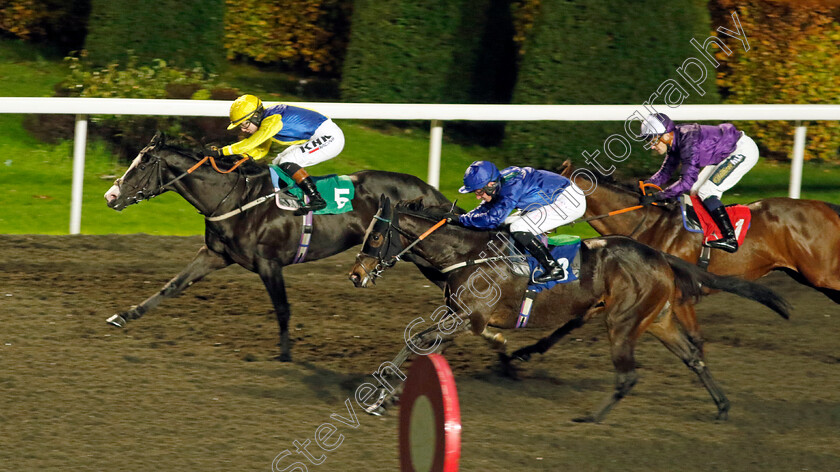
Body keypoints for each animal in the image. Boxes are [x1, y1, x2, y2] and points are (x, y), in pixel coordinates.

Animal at [103, 133, 452, 362]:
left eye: (143, 164)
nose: (110, 196)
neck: (234, 197)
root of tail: (428, 189)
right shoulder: (216, 255)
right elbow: (172, 285)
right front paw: (125, 315)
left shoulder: (269, 263)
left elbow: (282, 308)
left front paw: (285, 356)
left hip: (425, 257)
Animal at [344, 197, 792, 422]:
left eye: (376, 237)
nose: (356, 274)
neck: (467, 253)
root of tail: (661, 256)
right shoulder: (460, 319)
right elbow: (421, 344)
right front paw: (385, 394)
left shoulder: (467, 319)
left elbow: (418, 341)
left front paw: (381, 395)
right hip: (657, 318)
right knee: (693, 357)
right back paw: (722, 406)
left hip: (622, 320)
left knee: (628, 374)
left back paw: (592, 418)